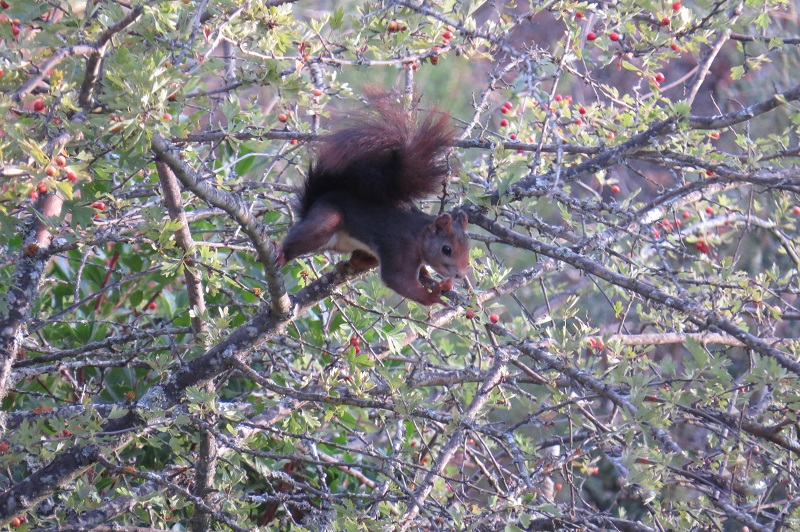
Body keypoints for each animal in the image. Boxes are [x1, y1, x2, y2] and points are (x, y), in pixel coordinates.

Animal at [277, 90, 469, 305]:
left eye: (468, 247)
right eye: (446, 249)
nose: (461, 274)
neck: (419, 235)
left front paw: (428, 276)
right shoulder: (400, 249)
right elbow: (397, 279)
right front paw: (432, 295)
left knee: (358, 258)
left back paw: (348, 264)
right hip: (326, 218)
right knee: (303, 236)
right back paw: (283, 254)